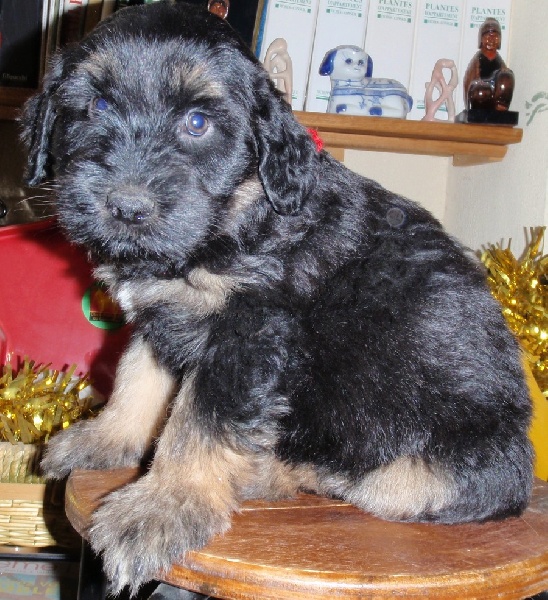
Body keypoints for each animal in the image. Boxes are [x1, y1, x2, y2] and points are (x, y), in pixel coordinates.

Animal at [21, 1, 533, 595]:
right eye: (99, 104)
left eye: (197, 122)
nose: (127, 207)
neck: (235, 217)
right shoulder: (163, 314)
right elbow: (136, 380)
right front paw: (106, 440)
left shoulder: (248, 332)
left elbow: (197, 424)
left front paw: (164, 506)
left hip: (436, 469)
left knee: (357, 479)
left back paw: (262, 472)